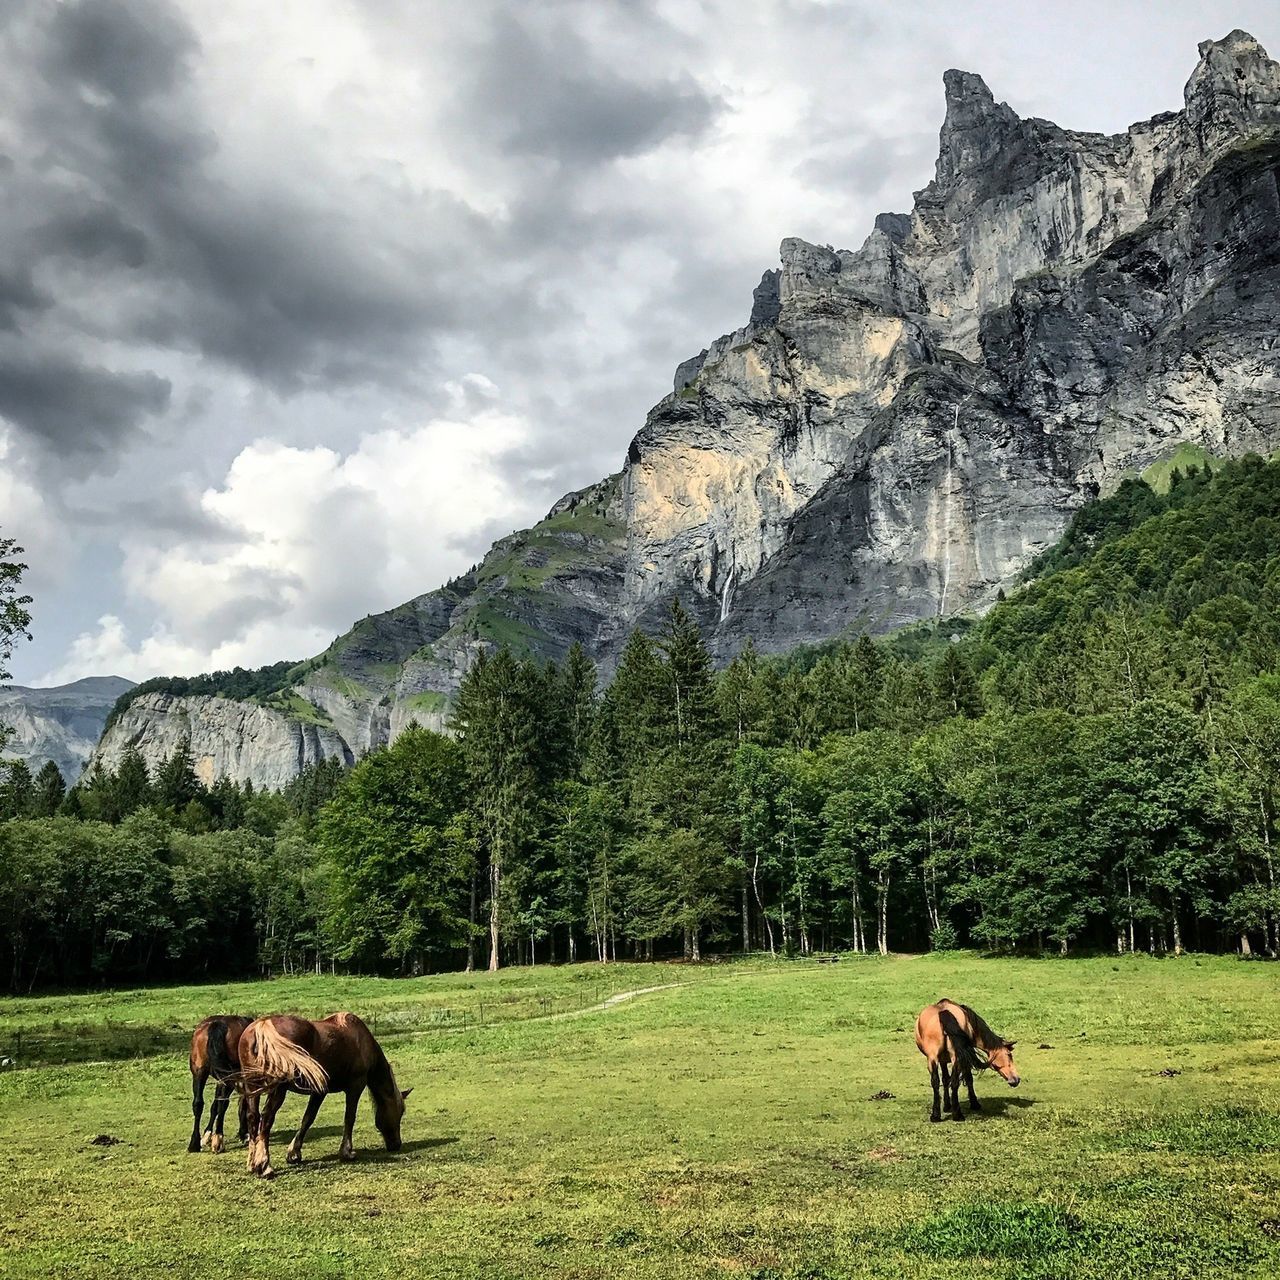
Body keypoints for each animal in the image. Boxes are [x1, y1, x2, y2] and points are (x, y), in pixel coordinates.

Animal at [186, 1013, 252, 1157]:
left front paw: (207, 1135)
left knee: (198, 1104)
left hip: (199, 1071)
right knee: (223, 1104)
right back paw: (219, 1140)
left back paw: (194, 1143)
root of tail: (218, 1024)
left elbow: (214, 1106)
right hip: (229, 1076)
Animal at [232, 1008, 407, 1177]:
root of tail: (263, 1026)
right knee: (266, 1119)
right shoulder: (355, 1086)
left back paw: (252, 1164)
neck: (360, 1040)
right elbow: (349, 1118)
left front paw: (294, 1153)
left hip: (252, 1087)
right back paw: (265, 1166)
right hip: (277, 1090)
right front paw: (347, 1152)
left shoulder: (319, 1091)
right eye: (401, 1112)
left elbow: (308, 1118)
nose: (396, 1144)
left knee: (253, 1118)